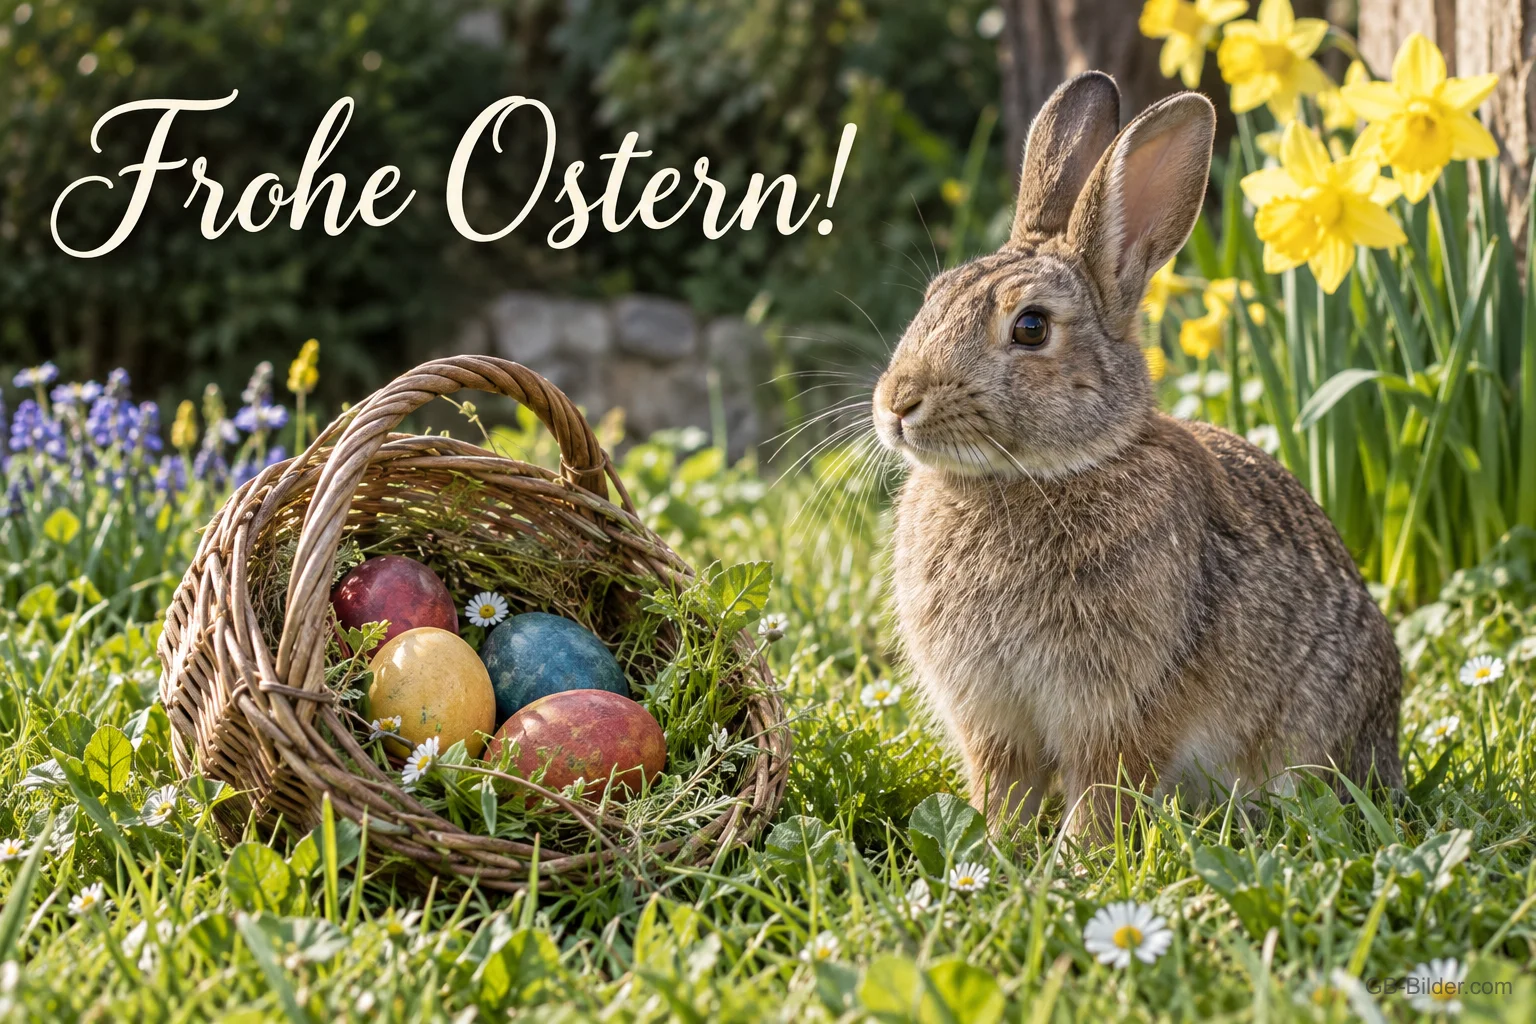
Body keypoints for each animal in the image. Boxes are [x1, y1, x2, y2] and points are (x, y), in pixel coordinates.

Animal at [872, 72, 1403, 835]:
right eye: (933, 297)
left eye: (1031, 328)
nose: (897, 404)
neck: (1036, 475)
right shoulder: (995, 719)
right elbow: (1002, 790)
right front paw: (991, 845)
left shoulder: (1121, 709)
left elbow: (1101, 795)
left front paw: (1071, 859)